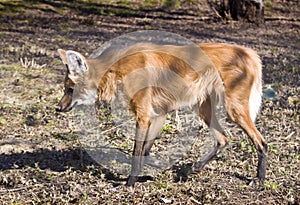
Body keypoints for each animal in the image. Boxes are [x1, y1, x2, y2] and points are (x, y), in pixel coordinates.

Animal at [55, 42, 268, 187]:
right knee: (223, 138)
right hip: (203, 108)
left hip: (233, 109)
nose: (58, 108)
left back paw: (259, 179)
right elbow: (145, 151)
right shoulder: (157, 115)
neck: (116, 71)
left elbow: (137, 151)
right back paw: (195, 168)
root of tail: (249, 52)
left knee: (262, 142)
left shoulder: (144, 116)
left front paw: (130, 183)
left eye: (70, 89)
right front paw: (151, 170)